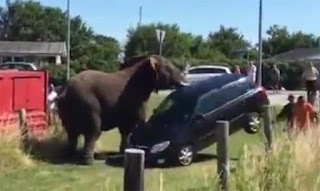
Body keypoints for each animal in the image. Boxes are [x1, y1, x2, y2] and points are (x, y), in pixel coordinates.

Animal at [56, 54, 184, 165]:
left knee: (71, 133)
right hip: (87, 105)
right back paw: (88, 162)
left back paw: (70, 156)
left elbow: (125, 129)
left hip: (67, 109)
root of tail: (65, 90)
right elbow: (135, 123)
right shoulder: (135, 100)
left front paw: (124, 152)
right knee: (92, 132)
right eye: (168, 68)